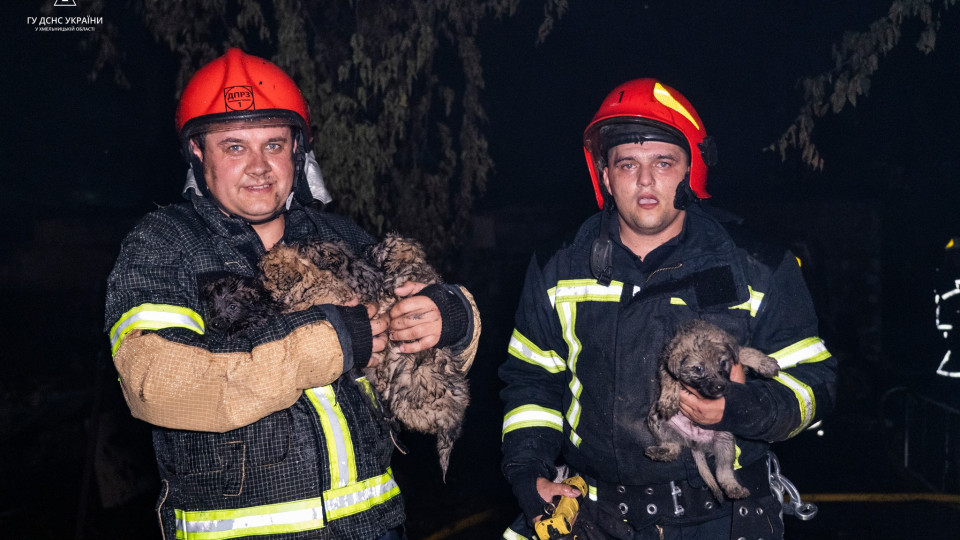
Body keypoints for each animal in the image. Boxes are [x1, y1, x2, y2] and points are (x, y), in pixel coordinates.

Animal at [644, 320, 780, 502]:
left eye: (722, 363)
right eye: (698, 368)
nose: (720, 387)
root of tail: (694, 442)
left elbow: (744, 352)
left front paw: (764, 363)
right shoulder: (665, 365)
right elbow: (670, 378)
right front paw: (669, 399)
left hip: (725, 441)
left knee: (723, 472)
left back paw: (734, 488)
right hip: (656, 419)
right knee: (673, 447)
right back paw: (661, 452)